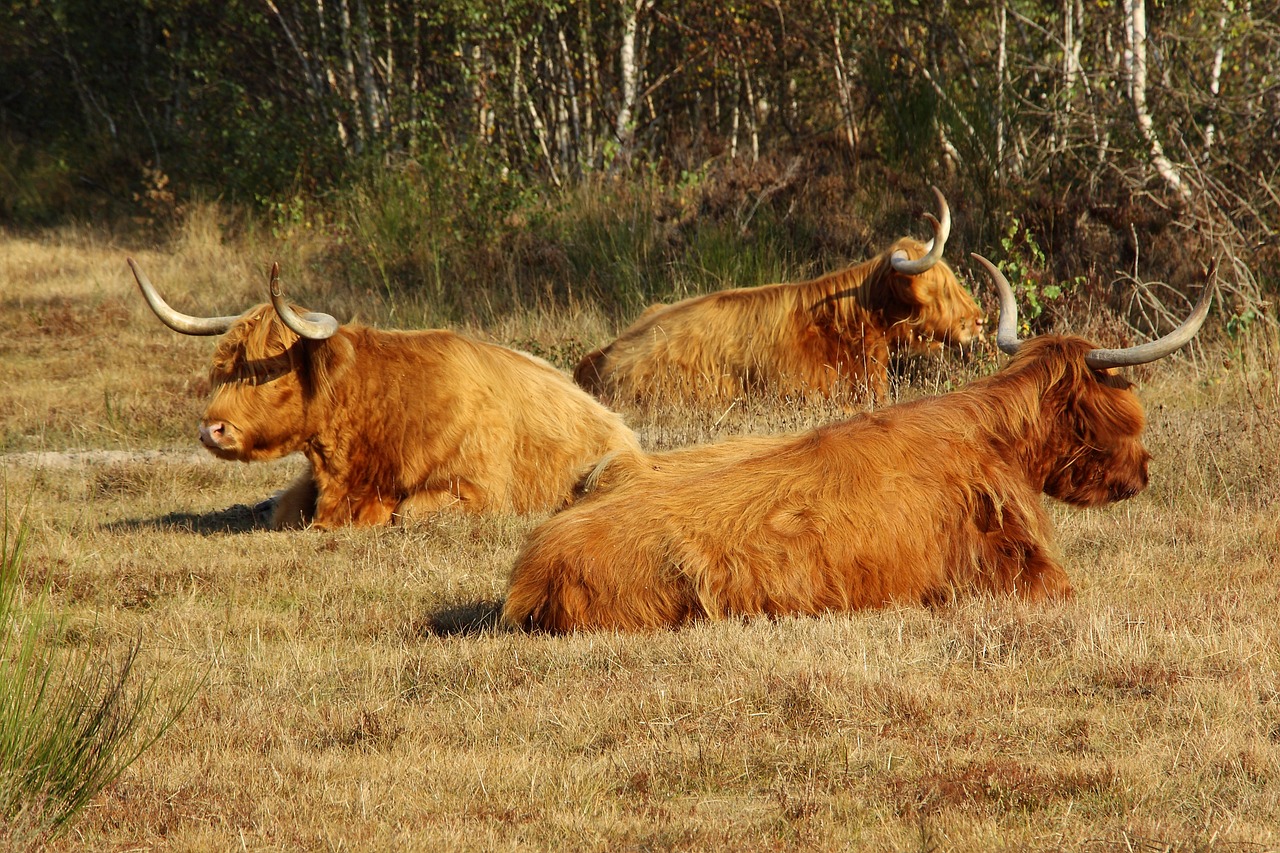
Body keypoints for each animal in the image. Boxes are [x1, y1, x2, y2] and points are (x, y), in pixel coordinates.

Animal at [129, 256, 640, 527]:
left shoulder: (482, 492)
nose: (211, 430)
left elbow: (406, 512)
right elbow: (285, 510)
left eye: (269, 369)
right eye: (223, 368)